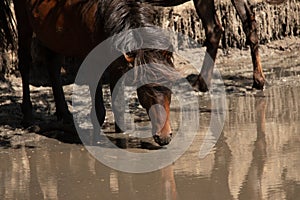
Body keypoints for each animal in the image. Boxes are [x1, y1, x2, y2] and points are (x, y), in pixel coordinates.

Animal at [0, 0, 177, 146]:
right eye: (147, 88)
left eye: (171, 84)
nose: (165, 136)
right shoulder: (94, 61)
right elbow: (100, 111)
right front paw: (96, 141)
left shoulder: (118, 62)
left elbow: (118, 107)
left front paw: (121, 140)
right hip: (23, 20)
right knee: (24, 62)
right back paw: (28, 117)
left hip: (52, 34)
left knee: (53, 64)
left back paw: (65, 114)